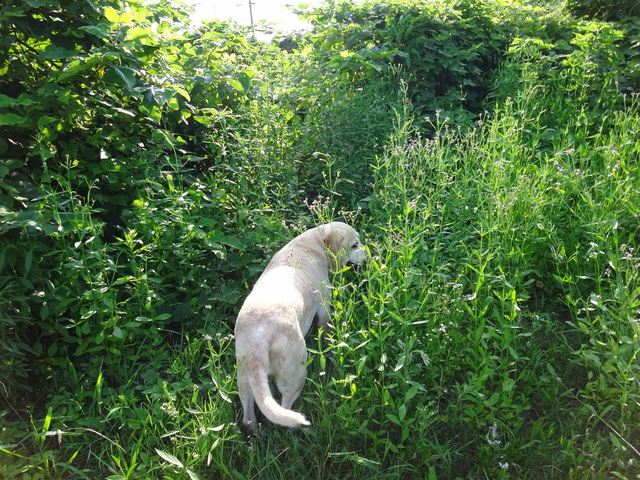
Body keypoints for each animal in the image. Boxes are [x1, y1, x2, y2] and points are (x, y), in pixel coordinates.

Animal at [235, 223, 368, 434]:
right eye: (355, 245)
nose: (369, 255)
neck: (313, 243)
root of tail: (259, 336)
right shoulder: (324, 306)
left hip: (244, 377)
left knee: (248, 418)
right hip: (296, 374)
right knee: (285, 411)